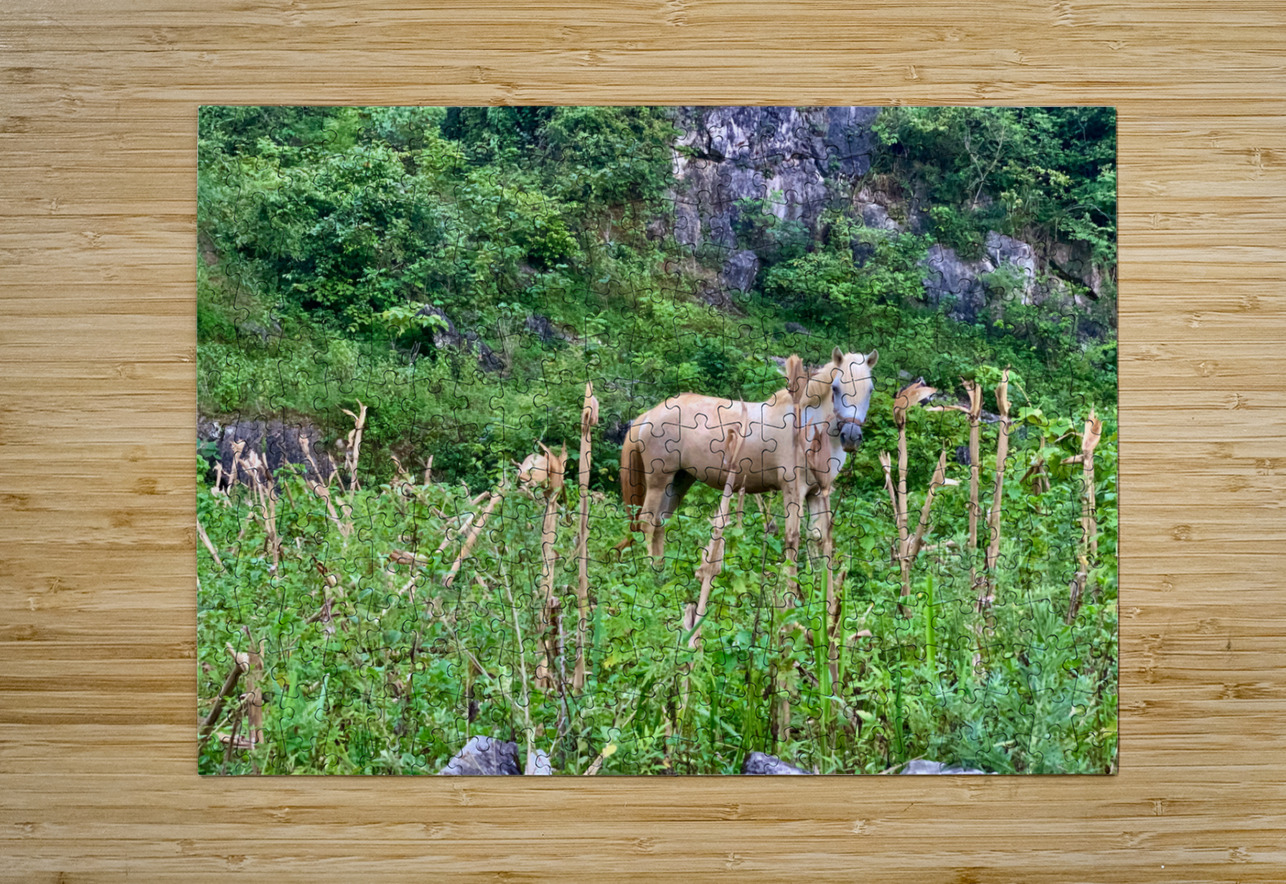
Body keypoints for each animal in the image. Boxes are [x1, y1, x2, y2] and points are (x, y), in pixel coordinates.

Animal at [620, 347, 878, 559]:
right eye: (836, 388)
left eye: (870, 390)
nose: (851, 436)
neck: (808, 428)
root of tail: (648, 415)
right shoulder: (793, 490)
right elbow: (792, 538)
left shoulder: (817, 492)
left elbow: (816, 538)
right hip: (659, 480)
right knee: (647, 523)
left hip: (680, 480)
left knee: (659, 523)